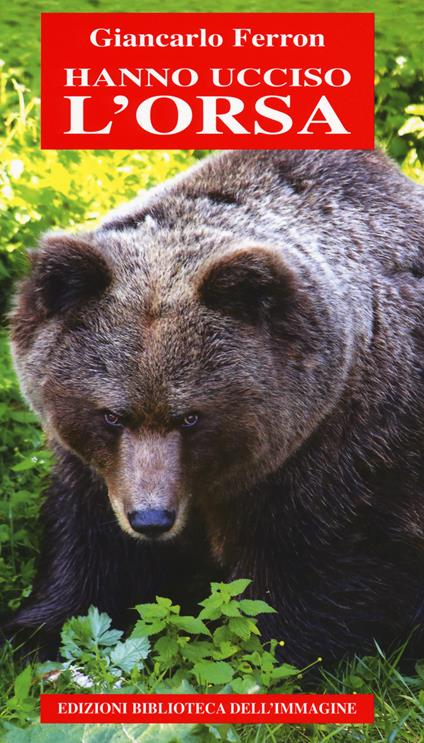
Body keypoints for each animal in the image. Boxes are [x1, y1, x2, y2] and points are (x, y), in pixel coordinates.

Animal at [5, 148, 424, 664]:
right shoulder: (97, 471)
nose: (150, 519)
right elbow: (90, 547)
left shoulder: (343, 457)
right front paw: (35, 633)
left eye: (191, 416)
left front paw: (268, 651)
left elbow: (314, 578)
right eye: (111, 415)